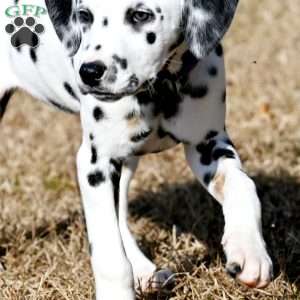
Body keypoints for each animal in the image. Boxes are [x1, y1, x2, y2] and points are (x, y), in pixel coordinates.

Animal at [0, 0, 274, 298]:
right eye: (84, 15)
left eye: (141, 15)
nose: (90, 72)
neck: (161, 86)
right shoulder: (95, 163)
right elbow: (110, 254)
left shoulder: (208, 144)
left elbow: (242, 185)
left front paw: (250, 251)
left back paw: (143, 270)